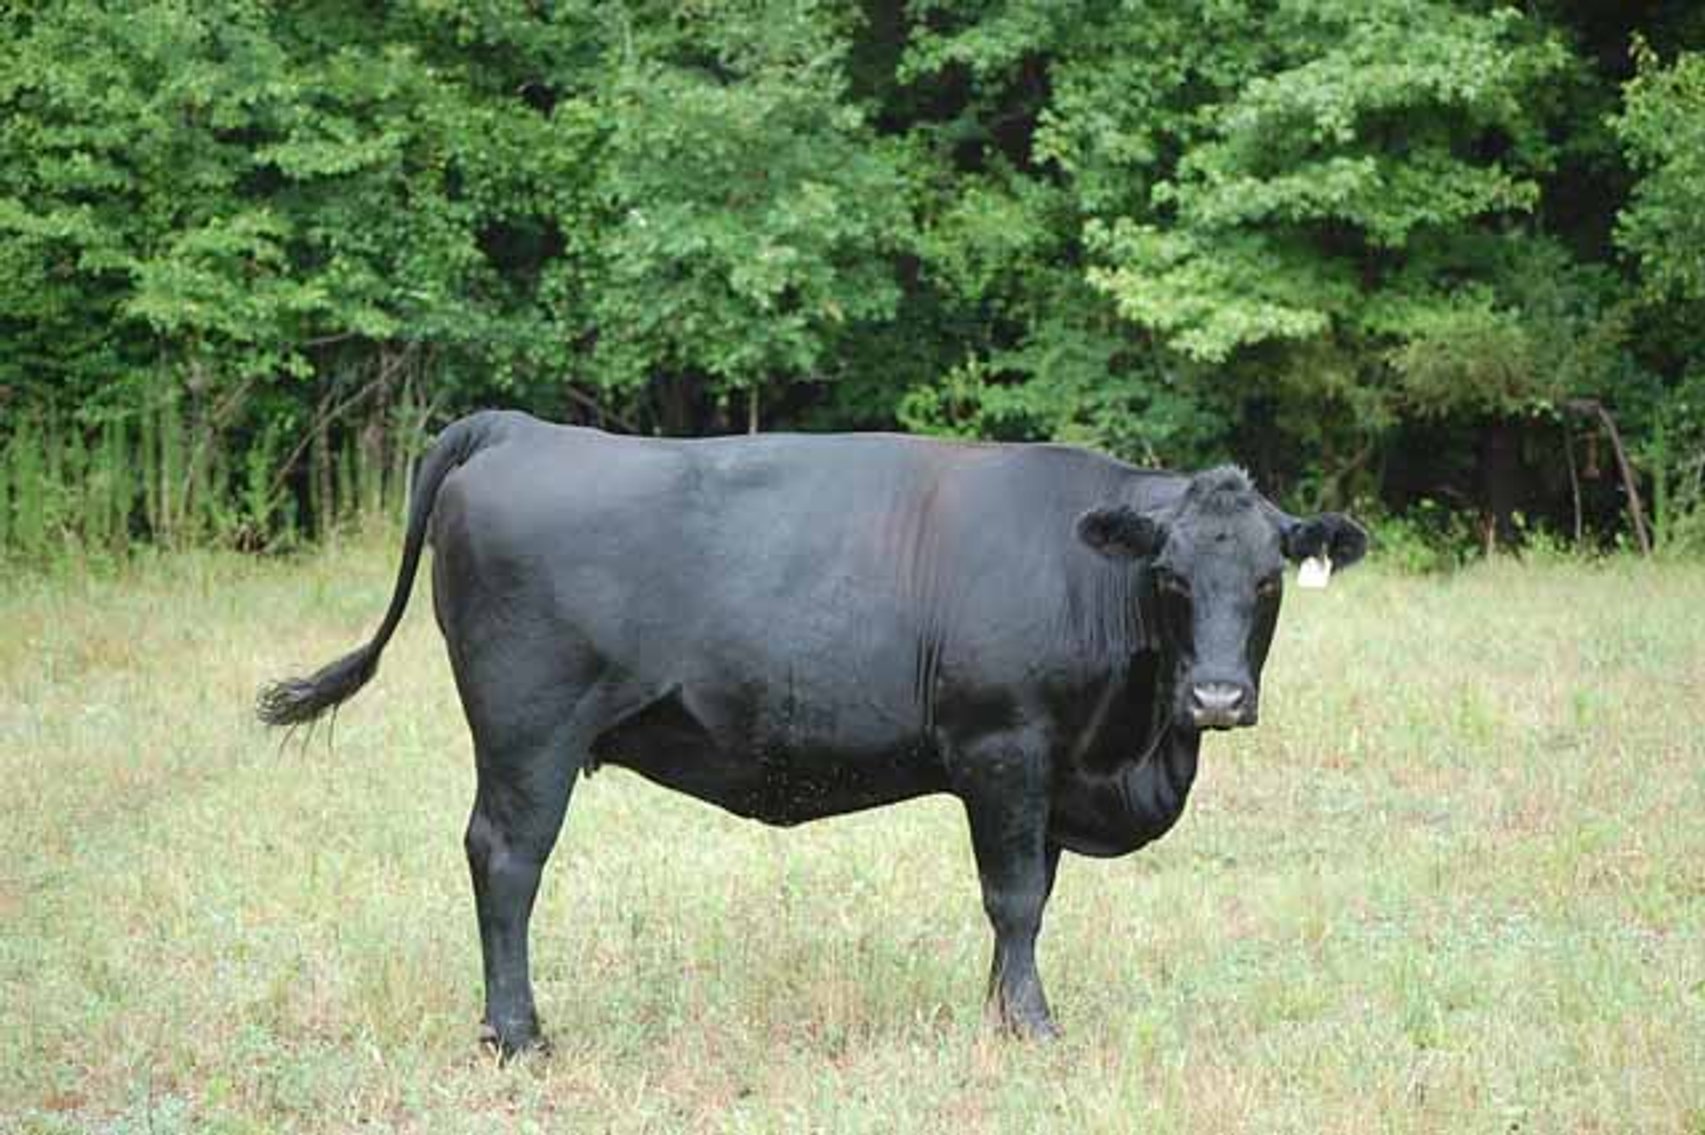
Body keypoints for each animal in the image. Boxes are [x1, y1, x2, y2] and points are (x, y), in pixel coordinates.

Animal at [258, 410, 1366, 1054]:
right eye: (1170, 576)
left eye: (1267, 578)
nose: (1215, 695)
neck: (1132, 748)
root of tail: (520, 429)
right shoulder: (1003, 746)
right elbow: (1011, 897)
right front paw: (1034, 1027)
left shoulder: (1049, 771)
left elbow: (1031, 900)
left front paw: (998, 1012)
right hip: (529, 732)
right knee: (505, 859)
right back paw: (518, 1034)